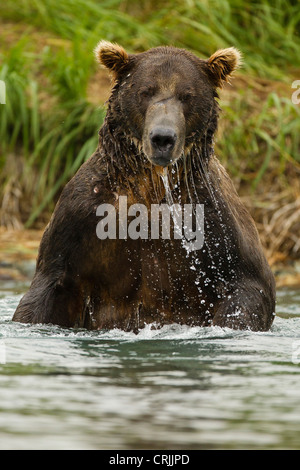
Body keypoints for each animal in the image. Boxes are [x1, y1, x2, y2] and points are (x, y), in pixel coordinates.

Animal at [13, 42, 276, 332]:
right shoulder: (83, 217)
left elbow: (248, 285)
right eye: (145, 91)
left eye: (187, 95)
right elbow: (48, 288)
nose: (162, 138)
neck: (152, 184)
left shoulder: (211, 217)